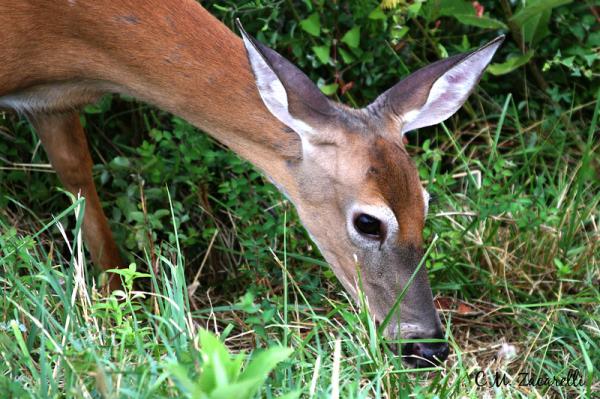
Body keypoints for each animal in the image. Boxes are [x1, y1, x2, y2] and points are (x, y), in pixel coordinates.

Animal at [1, 0, 502, 368]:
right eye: (368, 222)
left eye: (425, 204)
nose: (427, 346)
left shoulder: (51, 105)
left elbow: (80, 184)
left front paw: (119, 296)